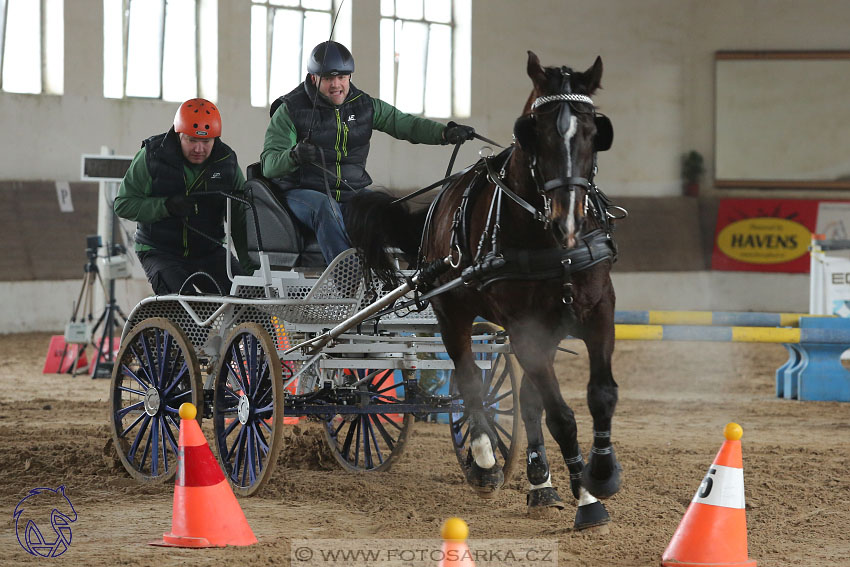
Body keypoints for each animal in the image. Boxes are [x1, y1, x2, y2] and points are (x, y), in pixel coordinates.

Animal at [346, 51, 624, 532]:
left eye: (594, 132)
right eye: (534, 131)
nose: (567, 221)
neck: (551, 242)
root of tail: (435, 208)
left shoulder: (596, 309)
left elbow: (599, 395)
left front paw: (600, 474)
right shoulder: (524, 327)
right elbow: (561, 415)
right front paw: (588, 500)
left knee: (525, 398)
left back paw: (540, 482)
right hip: (451, 311)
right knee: (470, 378)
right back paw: (483, 461)